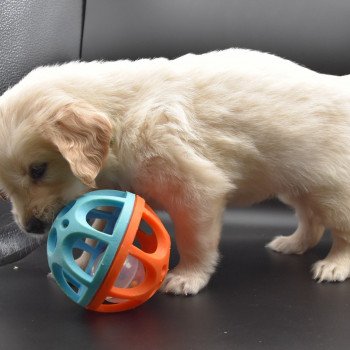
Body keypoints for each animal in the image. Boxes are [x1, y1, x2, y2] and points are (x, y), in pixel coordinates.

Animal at [0, 48, 350, 296]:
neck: (120, 116)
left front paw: (187, 277)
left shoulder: (196, 189)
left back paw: (335, 265)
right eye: (5, 190)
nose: (31, 227)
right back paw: (292, 243)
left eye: (38, 170)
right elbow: (94, 230)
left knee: (342, 230)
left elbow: (194, 240)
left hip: (333, 188)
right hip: (300, 183)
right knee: (311, 220)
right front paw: (81, 264)